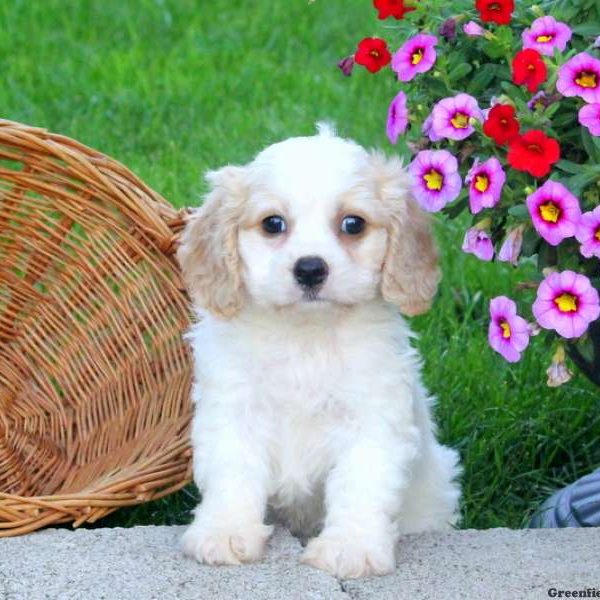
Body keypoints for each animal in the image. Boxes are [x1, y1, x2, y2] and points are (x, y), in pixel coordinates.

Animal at [177, 124, 460, 580]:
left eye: (353, 224)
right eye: (273, 223)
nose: (310, 268)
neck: (305, 336)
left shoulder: (372, 418)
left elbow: (361, 482)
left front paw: (351, 548)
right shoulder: (233, 411)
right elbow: (233, 471)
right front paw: (224, 533)